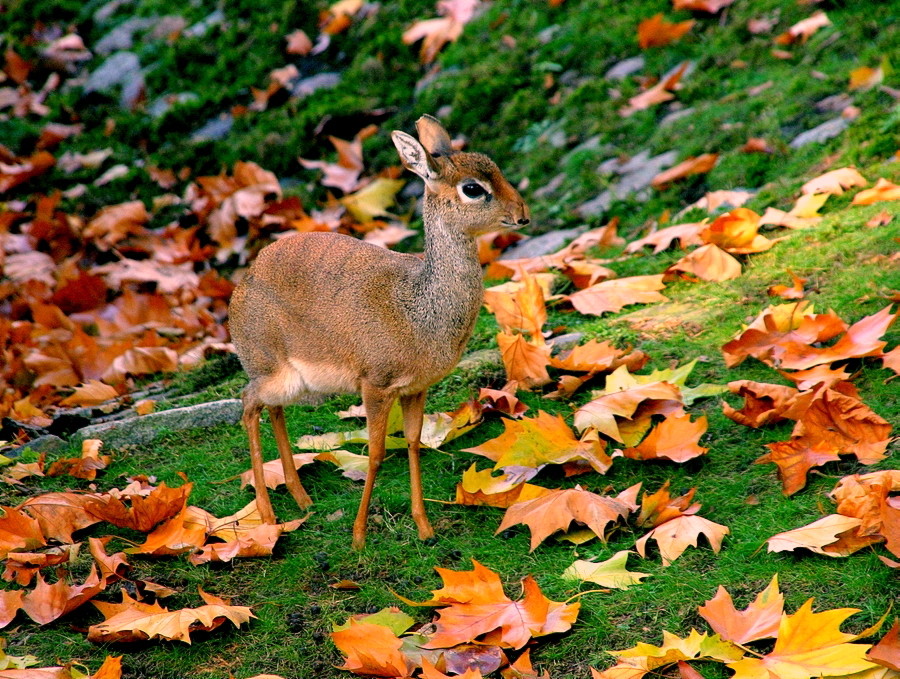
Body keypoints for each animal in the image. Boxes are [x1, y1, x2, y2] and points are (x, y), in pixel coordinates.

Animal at [229, 115, 532, 552]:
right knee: (247, 403)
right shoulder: (374, 385)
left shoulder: (416, 388)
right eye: (473, 187)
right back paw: (269, 517)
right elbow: (374, 454)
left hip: (292, 383)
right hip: (270, 371)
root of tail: (244, 281)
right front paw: (358, 536)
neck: (419, 309)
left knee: (271, 409)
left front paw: (424, 527)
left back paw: (302, 499)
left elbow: (413, 443)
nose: (522, 214)